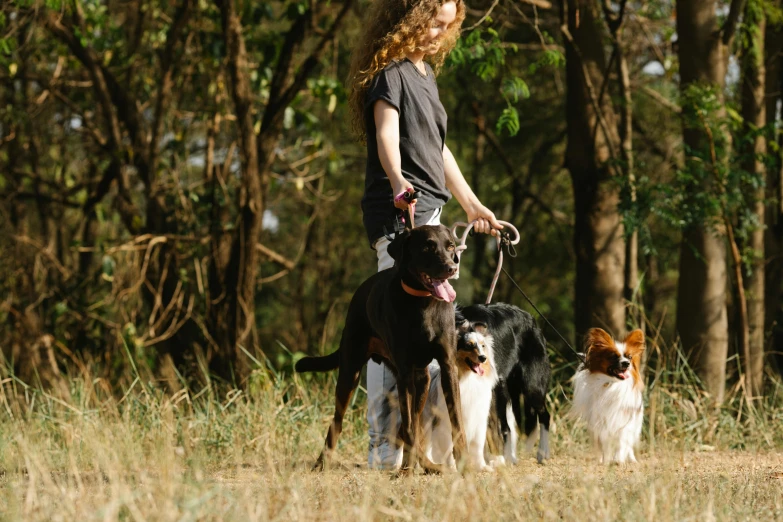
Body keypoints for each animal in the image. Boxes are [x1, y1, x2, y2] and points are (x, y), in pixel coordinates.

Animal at [294, 223, 466, 472]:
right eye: (427, 247)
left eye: (450, 246)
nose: (451, 268)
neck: (424, 302)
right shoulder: (404, 373)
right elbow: (409, 425)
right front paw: (406, 471)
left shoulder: (447, 366)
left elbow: (456, 421)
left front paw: (465, 463)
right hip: (350, 372)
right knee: (337, 422)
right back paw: (322, 462)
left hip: (422, 379)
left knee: (413, 425)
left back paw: (427, 464)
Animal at [456, 300, 556, 464]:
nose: (482, 358)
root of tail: (531, 319)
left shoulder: (495, 387)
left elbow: (502, 427)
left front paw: (503, 458)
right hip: (514, 394)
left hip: (531, 387)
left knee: (544, 416)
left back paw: (542, 453)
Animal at [572, 328, 648, 462]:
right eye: (613, 357)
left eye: (629, 357)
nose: (626, 363)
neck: (613, 384)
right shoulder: (601, 422)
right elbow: (604, 444)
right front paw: (605, 460)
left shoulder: (624, 420)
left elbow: (622, 442)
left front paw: (618, 459)